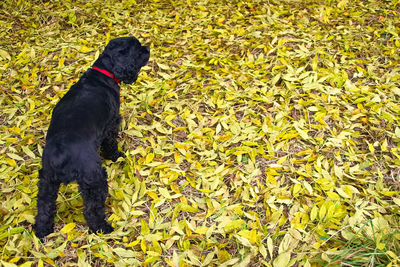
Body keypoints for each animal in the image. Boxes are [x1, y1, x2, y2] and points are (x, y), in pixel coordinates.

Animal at [34, 36, 150, 240]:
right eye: (137, 50)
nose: (148, 49)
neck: (102, 72)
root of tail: (61, 155)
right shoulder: (111, 124)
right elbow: (110, 144)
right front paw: (116, 156)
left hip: (47, 181)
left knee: (44, 206)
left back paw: (42, 230)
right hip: (94, 179)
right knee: (91, 210)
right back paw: (103, 228)